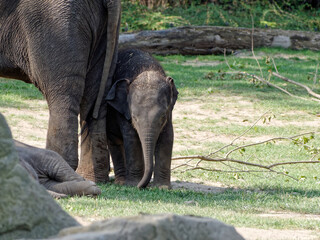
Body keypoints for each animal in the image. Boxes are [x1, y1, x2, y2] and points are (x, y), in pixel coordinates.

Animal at [107, 48, 178, 188]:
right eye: (134, 117)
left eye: (163, 116)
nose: (142, 186)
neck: (146, 69)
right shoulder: (122, 111)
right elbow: (131, 139)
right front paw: (133, 184)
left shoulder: (169, 112)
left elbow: (167, 137)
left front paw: (162, 187)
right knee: (115, 142)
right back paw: (121, 182)